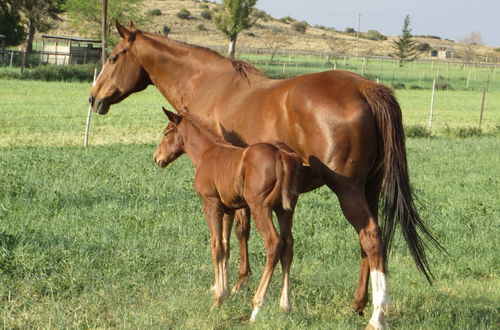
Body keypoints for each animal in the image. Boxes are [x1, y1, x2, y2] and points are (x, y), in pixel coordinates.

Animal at [153, 107, 300, 318]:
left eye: (166, 133)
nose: (157, 157)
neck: (207, 154)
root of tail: (281, 155)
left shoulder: (211, 204)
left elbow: (216, 245)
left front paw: (219, 298)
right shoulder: (229, 209)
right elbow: (225, 244)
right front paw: (226, 290)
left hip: (260, 208)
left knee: (274, 243)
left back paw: (257, 306)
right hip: (286, 209)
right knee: (288, 245)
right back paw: (285, 305)